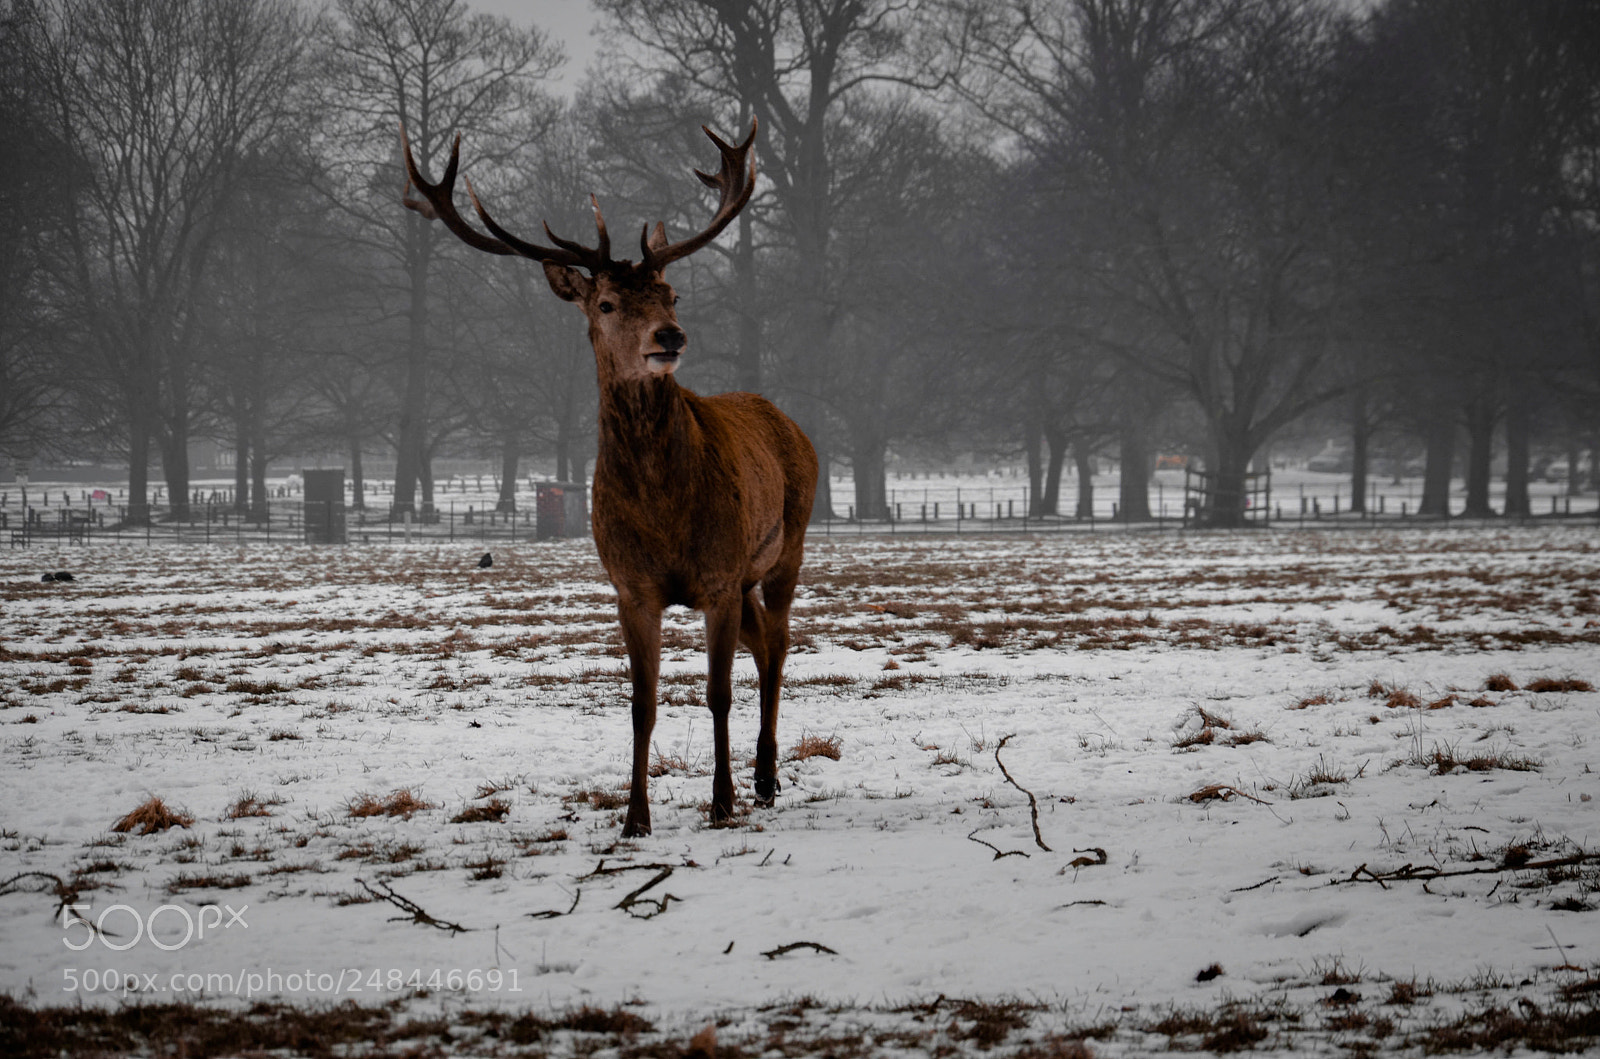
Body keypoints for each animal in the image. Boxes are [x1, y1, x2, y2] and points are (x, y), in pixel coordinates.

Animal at [401, 119, 817, 837]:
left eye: (672, 294)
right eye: (606, 301)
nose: (670, 336)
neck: (663, 509)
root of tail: (789, 420)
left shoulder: (716, 577)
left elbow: (716, 694)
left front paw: (720, 802)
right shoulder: (631, 587)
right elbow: (640, 703)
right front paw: (634, 818)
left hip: (786, 546)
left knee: (782, 642)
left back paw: (763, 778)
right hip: (745, 577)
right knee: (766, 642)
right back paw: (763, 777)